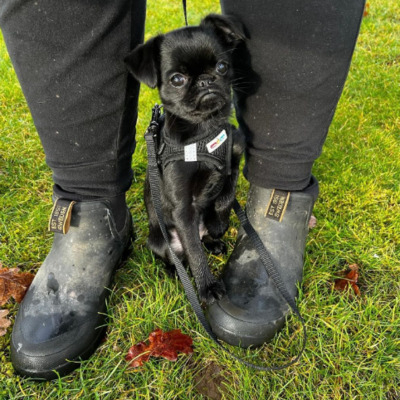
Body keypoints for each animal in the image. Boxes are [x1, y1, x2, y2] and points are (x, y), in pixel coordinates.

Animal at [125, 14, 245, 304]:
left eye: (222, 66)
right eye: (177, 79)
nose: (205, 81)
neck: (205, 130)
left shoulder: (234, 160)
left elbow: (225, 197)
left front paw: (218, 225)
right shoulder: (182, 208)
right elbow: (193, 251)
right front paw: (206, 287)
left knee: (200, 239)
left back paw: (212, 240)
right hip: (160, 241)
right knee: (179, 255)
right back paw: (174, 272)